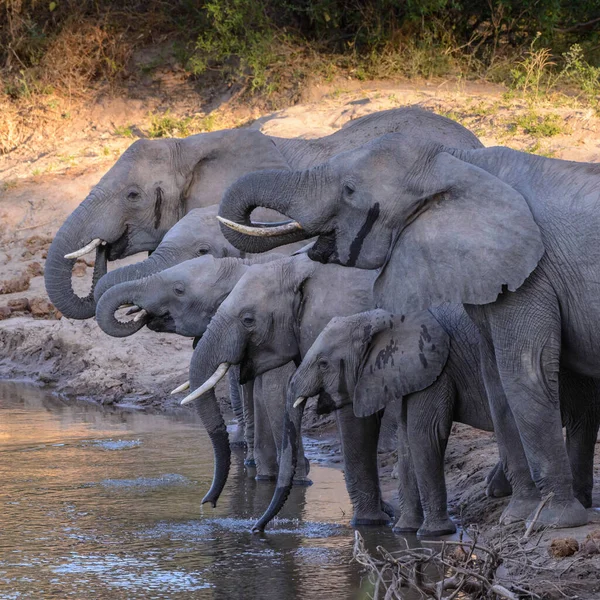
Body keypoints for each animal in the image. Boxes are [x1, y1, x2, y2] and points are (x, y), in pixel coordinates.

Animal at [292, 308, 600, 536]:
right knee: (582, 423)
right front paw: (404, 530)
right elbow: (407, 441)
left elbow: (425, 433)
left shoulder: (436, 366)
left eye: (323, 364)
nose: (385, 512)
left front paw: (432, 533)